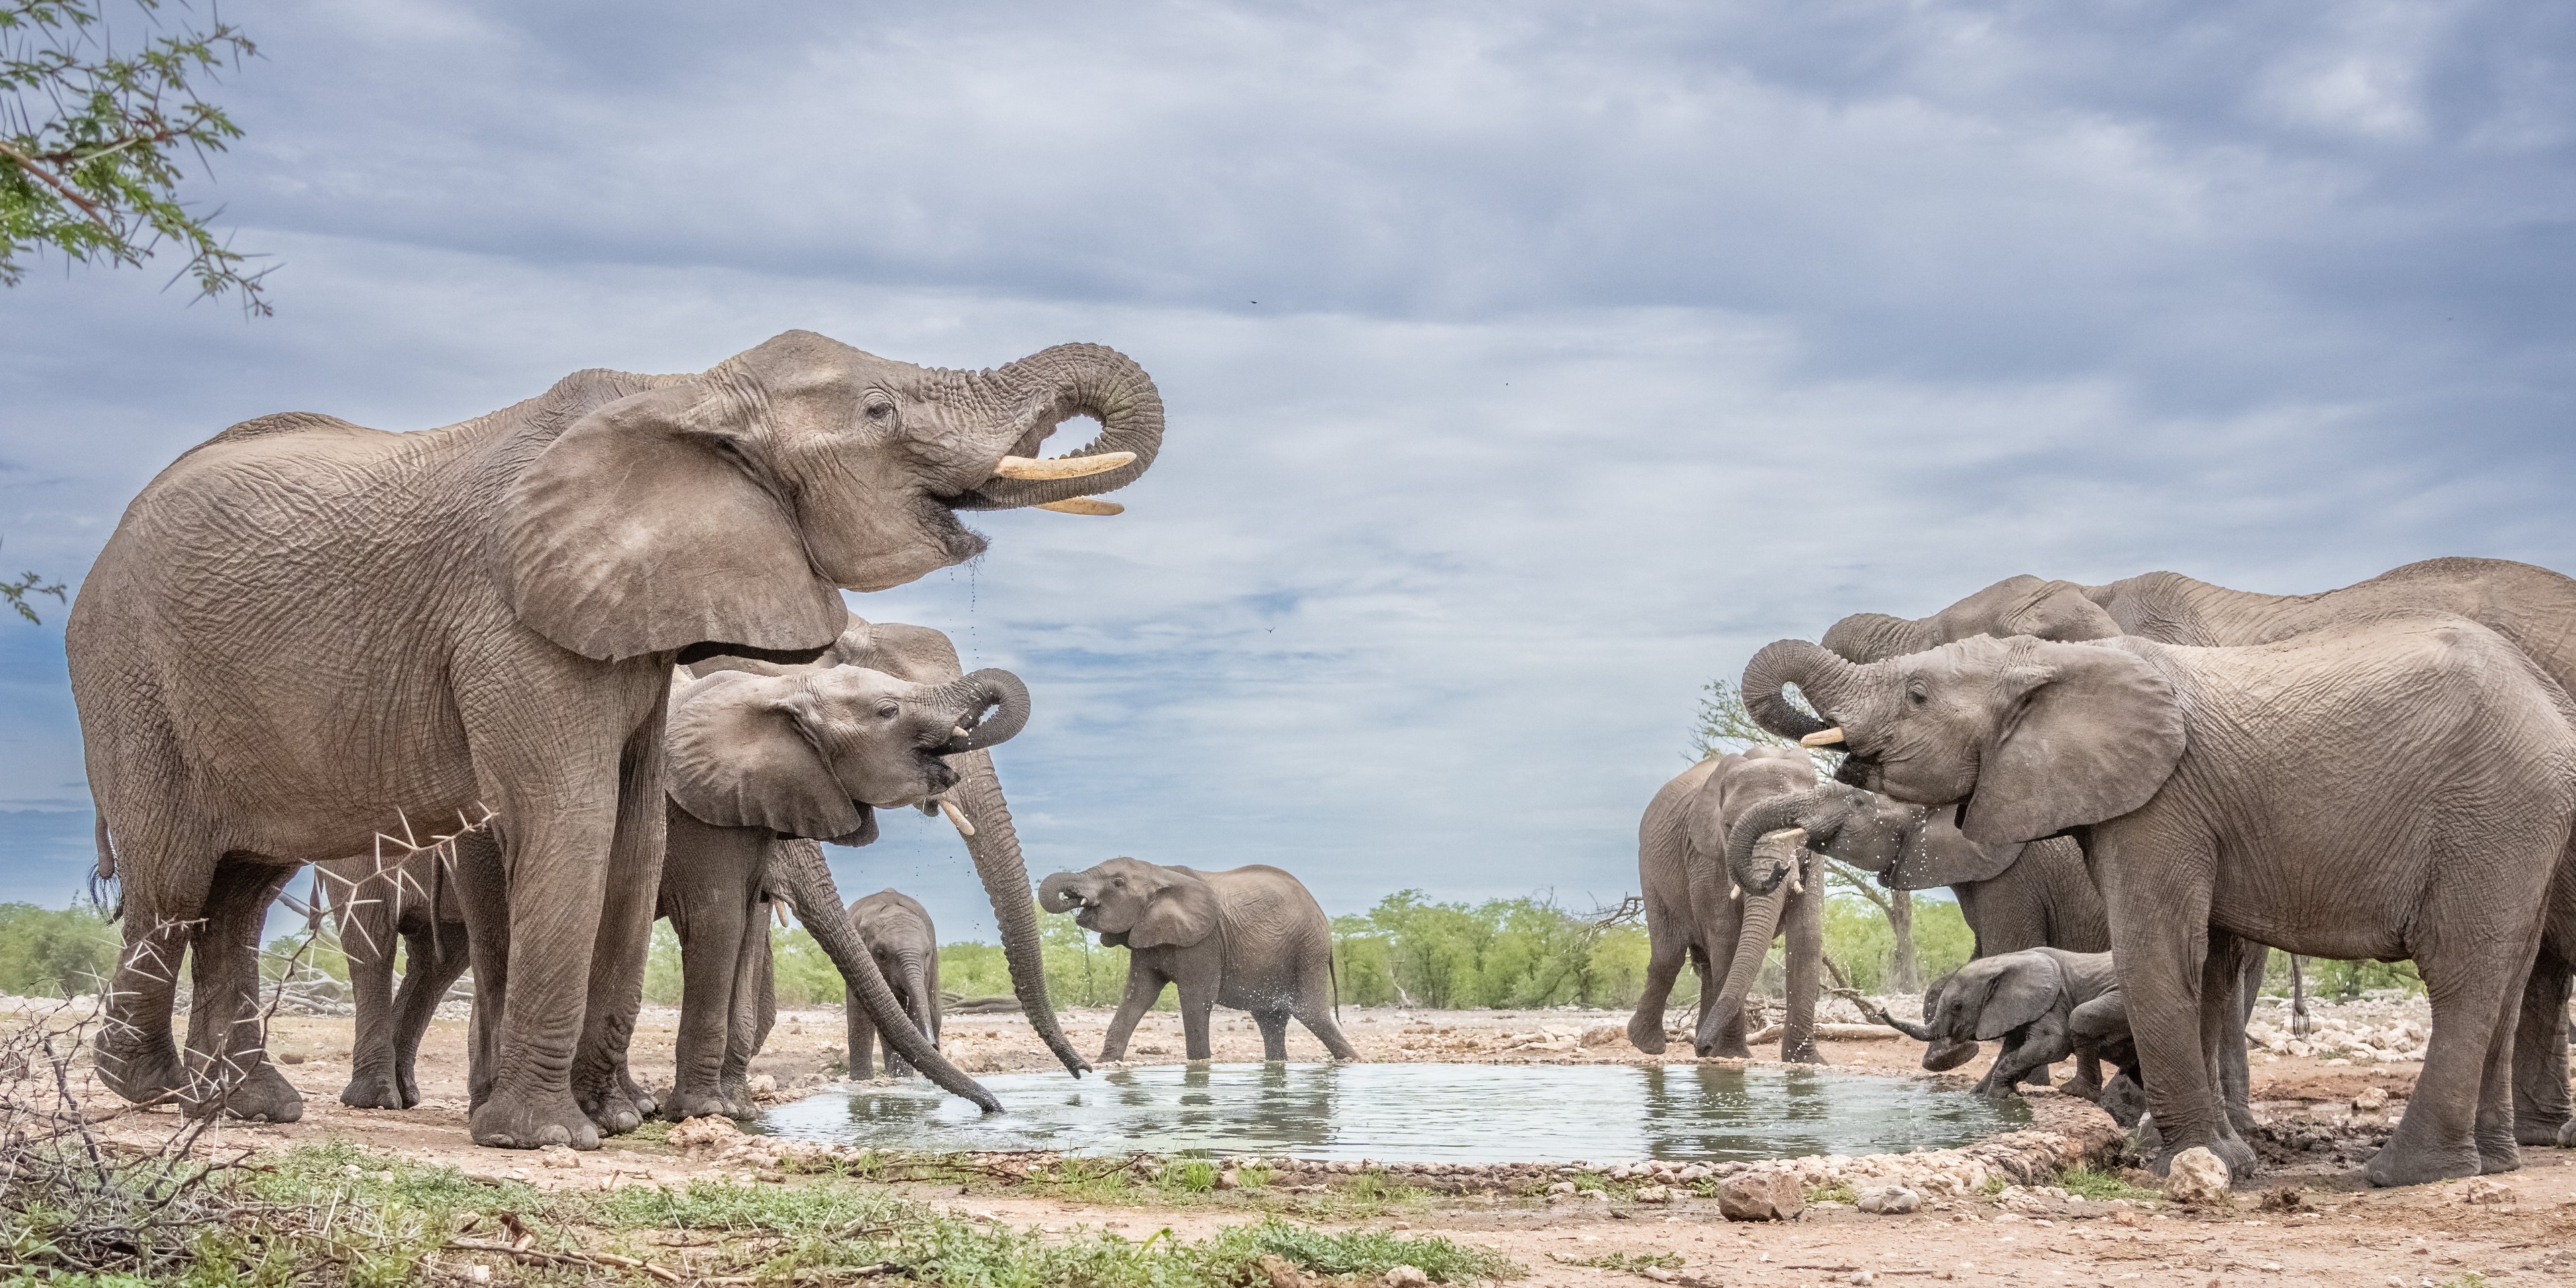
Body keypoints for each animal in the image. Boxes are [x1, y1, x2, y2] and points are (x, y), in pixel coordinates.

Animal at [839, 891, 943, 1081]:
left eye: (927, 953)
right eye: (881, 954)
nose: (933, 1046)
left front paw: (904, 1075)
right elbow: (862, 1015)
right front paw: (862, 1080)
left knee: (933, 1011)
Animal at [1040, 860, 1370, 1061]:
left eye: (1118, 883)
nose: (1073, 898)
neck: (1159, 872)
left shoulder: (1204, 940)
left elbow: (1196, 998)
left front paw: (1199, 1065)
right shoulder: (1147, 935)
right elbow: (1139, 996)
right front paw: (1105, 1063)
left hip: (1308, 949)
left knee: (1310, 1014)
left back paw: (1353, 1061)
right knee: (1271, 1019)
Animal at [1731, 615, 2576, 1185]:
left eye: (1917, 693)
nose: (1771, 875)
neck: (2053, 661)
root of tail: (2548, 700)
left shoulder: (2161, 802)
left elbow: (2158, 948)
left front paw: (2191, 1164)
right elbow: (2208, 966)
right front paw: (2210, 1156)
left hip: (2491, 811)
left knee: (2463, 974)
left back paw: (2406, 1173)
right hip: (2524, 825)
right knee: (2509, 975)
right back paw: (2494, 1162)